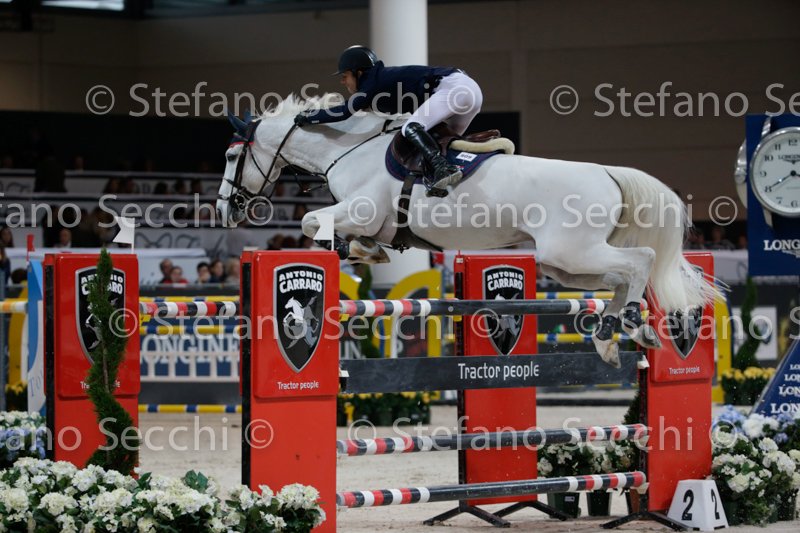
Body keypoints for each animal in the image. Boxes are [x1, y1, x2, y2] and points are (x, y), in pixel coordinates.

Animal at [216, 95, 718, 367]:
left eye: (229, 156)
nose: (224, 208)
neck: (348, 148)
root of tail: (609, 174)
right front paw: (366, 251)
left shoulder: (360, 210)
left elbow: (311, 222)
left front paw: (354, 249)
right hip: (565, 265)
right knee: (620, 278)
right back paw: (612, 336)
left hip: (572, 253)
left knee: (641, 263)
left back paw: (631, 324)